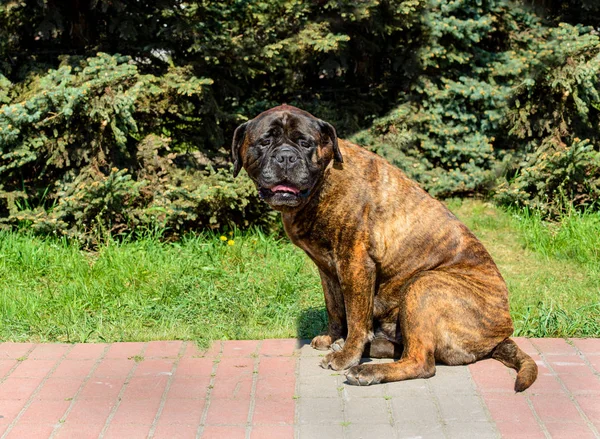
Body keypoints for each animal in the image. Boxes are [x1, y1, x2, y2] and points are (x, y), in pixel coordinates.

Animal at [231, 104, 540, 392]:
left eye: (305, 143)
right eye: (265, 141)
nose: (286, 157)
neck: (324, 180)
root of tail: (503, 332)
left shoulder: (355, 264)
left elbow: (356, 317)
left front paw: (347, 355)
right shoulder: (327, 269)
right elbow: (335, 309)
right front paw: (333, 339)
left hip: (425, 286)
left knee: (421, 361)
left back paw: (367, 370)